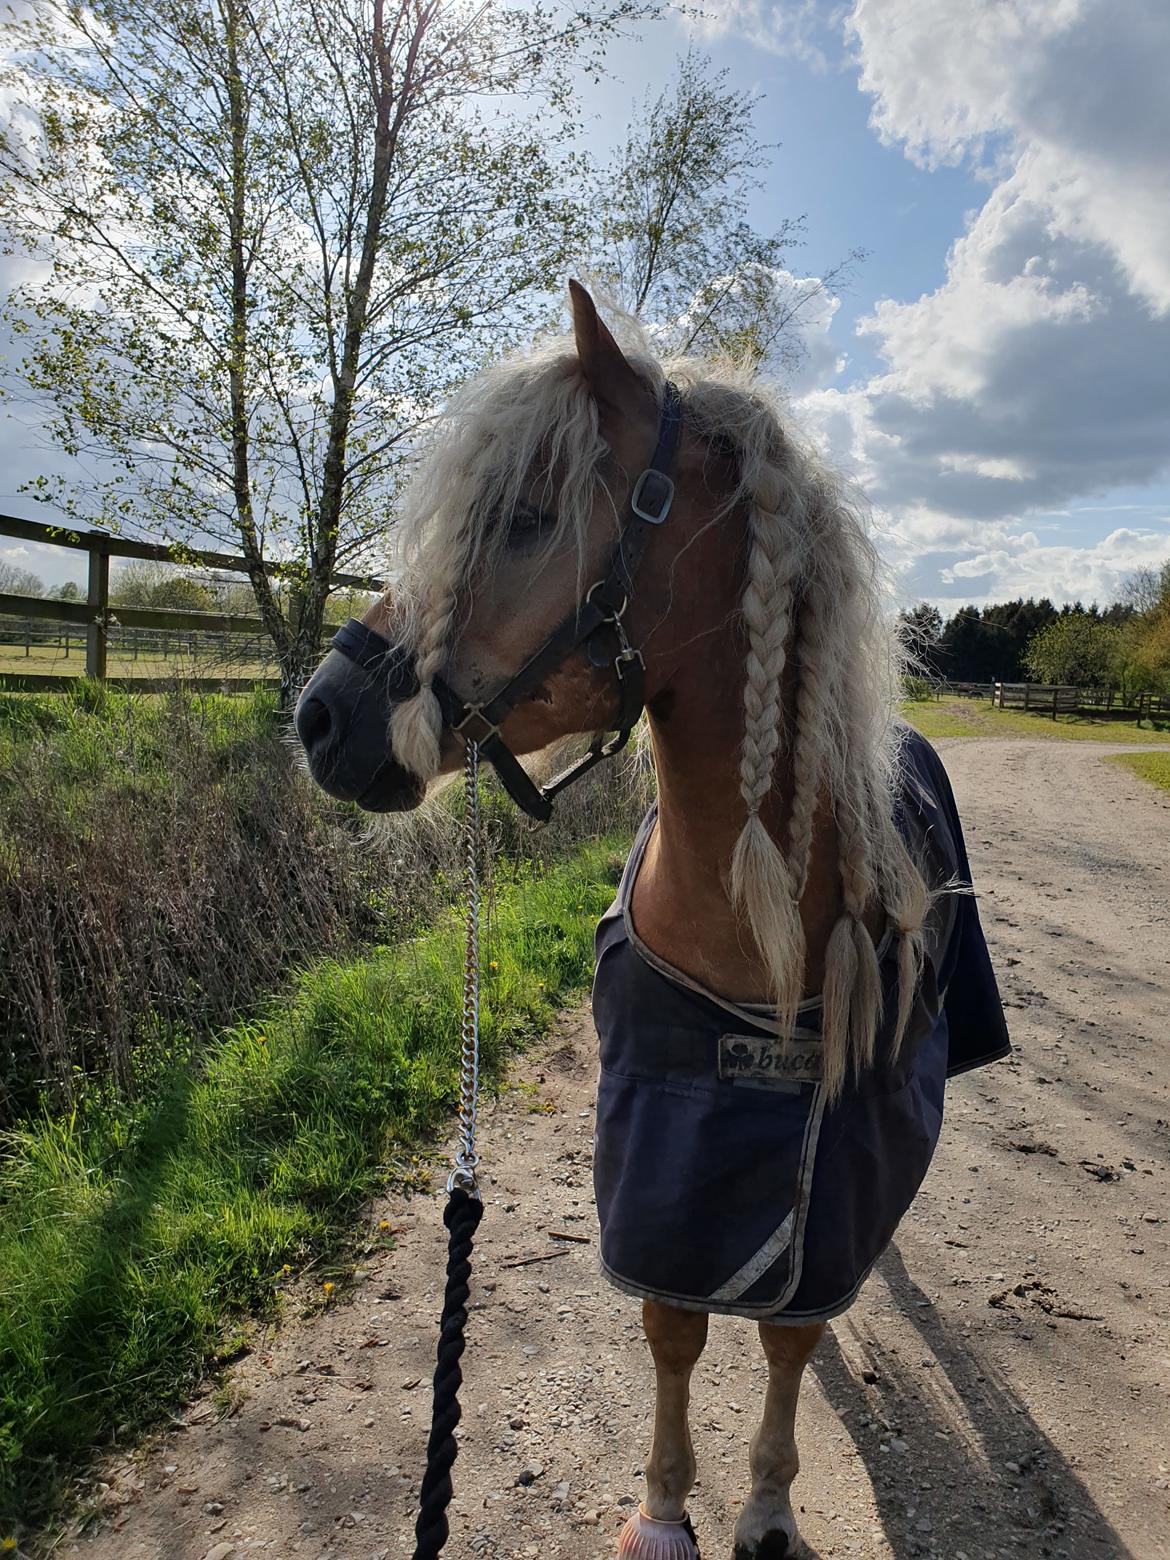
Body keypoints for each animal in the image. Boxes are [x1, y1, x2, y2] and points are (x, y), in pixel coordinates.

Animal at [293, 283, 1010, 1560]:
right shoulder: (662, 1164)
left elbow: (791, 1332)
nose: (320, 717)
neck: (754, 917)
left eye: (529, 518)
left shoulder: (832, 1171)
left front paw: (765, 1505)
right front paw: (667, 1509)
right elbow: (678, 1331)